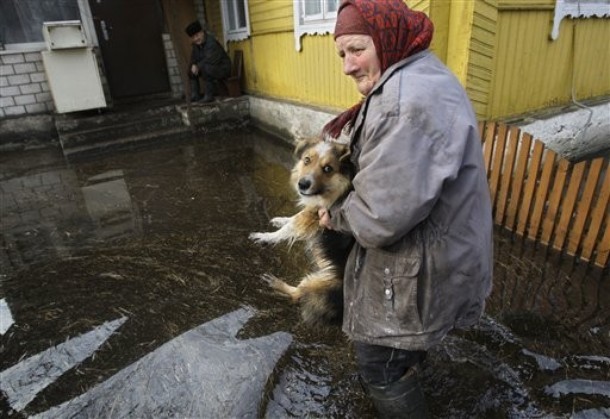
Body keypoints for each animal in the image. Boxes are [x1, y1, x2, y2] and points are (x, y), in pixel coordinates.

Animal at [247, 136, 352, 326]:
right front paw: (281, 220)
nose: (302, 184)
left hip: (318, 280)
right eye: (307, 160)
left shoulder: (315, 215)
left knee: (297, 295)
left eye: (328, 168)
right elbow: (292, 218)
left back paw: (276, 283)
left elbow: (290, 227)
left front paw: (266, 236)